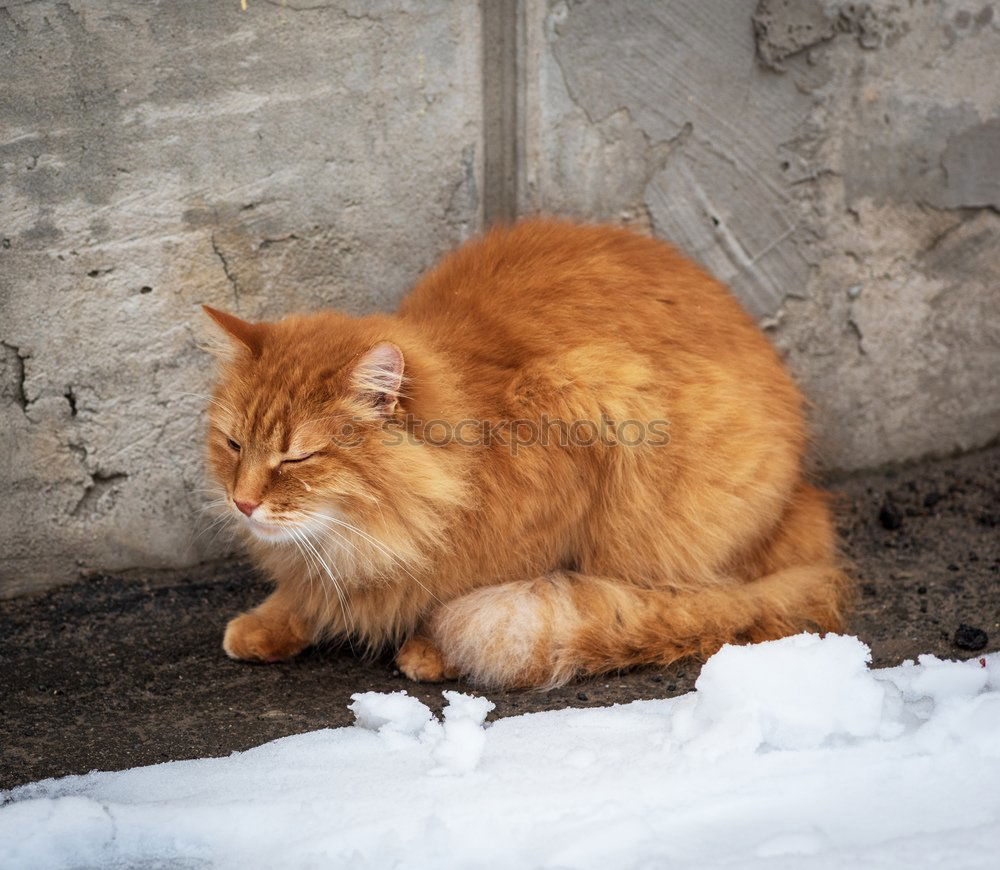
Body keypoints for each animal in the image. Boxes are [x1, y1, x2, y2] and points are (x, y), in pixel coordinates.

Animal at [205, 218, 852, 688]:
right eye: (234, 444)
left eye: (296, 459)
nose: (243, 503)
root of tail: (805, 504)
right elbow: (305, 594)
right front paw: (271, 623)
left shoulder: (584, 420)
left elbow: (480, 587)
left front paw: (431, 649)